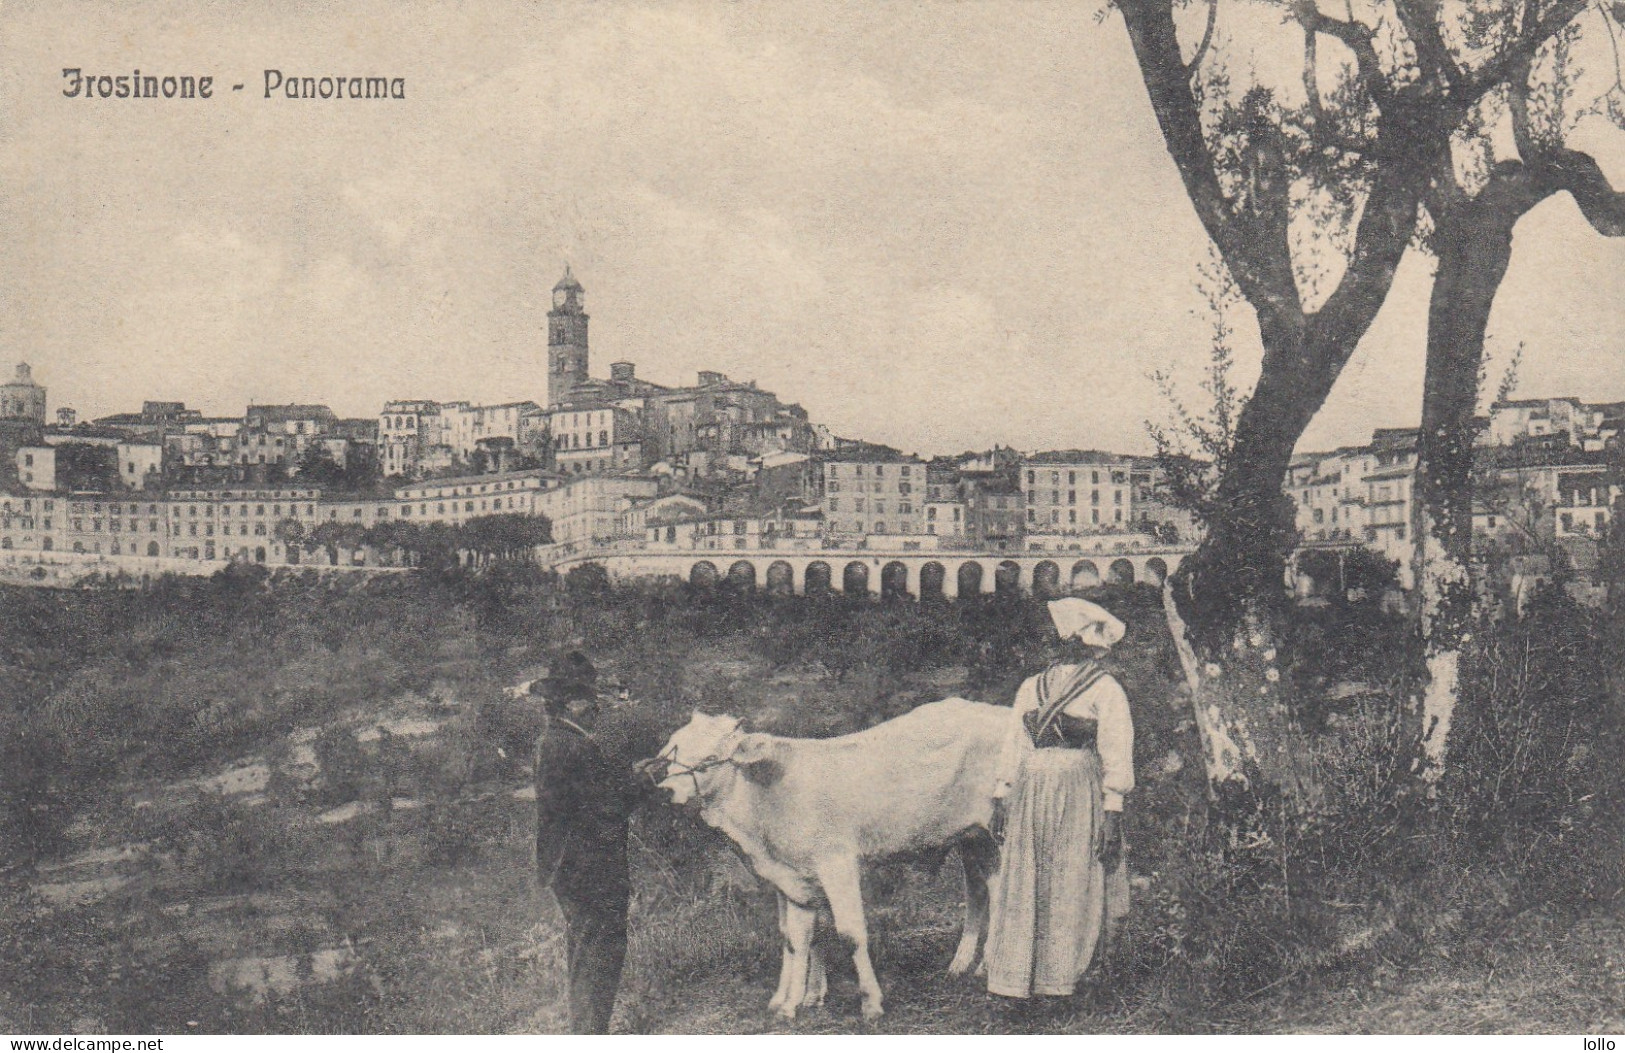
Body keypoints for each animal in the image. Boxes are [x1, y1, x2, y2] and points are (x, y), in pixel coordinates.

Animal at [643, 698, 1001, 1020]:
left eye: (711, 758)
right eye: (671, 751)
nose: (664, 790)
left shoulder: (836, 862)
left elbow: (849, 933)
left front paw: (870, 1003)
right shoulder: (790, 876)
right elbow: (795, 936)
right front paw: (794, 1001)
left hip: (999, 832)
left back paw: (989, 968)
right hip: (973, 837)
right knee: (981, 891)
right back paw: (966, 966)